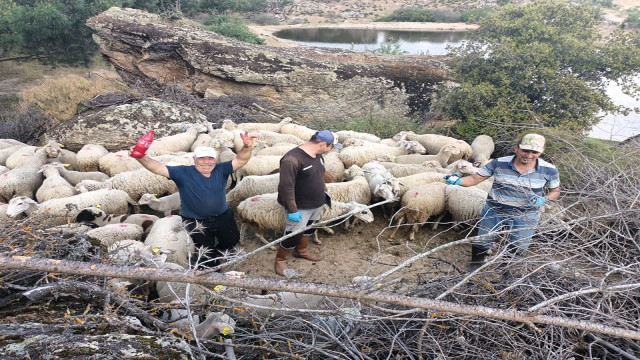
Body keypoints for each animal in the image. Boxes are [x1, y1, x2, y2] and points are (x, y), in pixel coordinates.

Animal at [238, 194, 372, 248]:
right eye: (364, 212)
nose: (372, 221)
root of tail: (242, 206)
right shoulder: (316, 220)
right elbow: (317, 231)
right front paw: (319, 239)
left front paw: (327, 231)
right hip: (260, 222)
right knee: (258, 235)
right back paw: (271, 246)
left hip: (251, 220)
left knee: (243, 227)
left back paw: (242, 241)